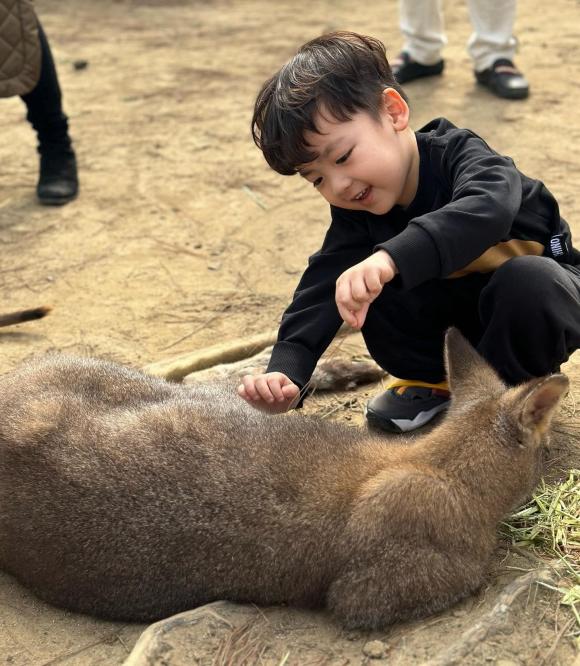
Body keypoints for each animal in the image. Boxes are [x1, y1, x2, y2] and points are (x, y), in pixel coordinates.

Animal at [0, 330, 568, 624]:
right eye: (542, 454)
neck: (441, 463)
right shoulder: (366, 595)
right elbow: (476, 575)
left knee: (223, 380)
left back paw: (342, 369)